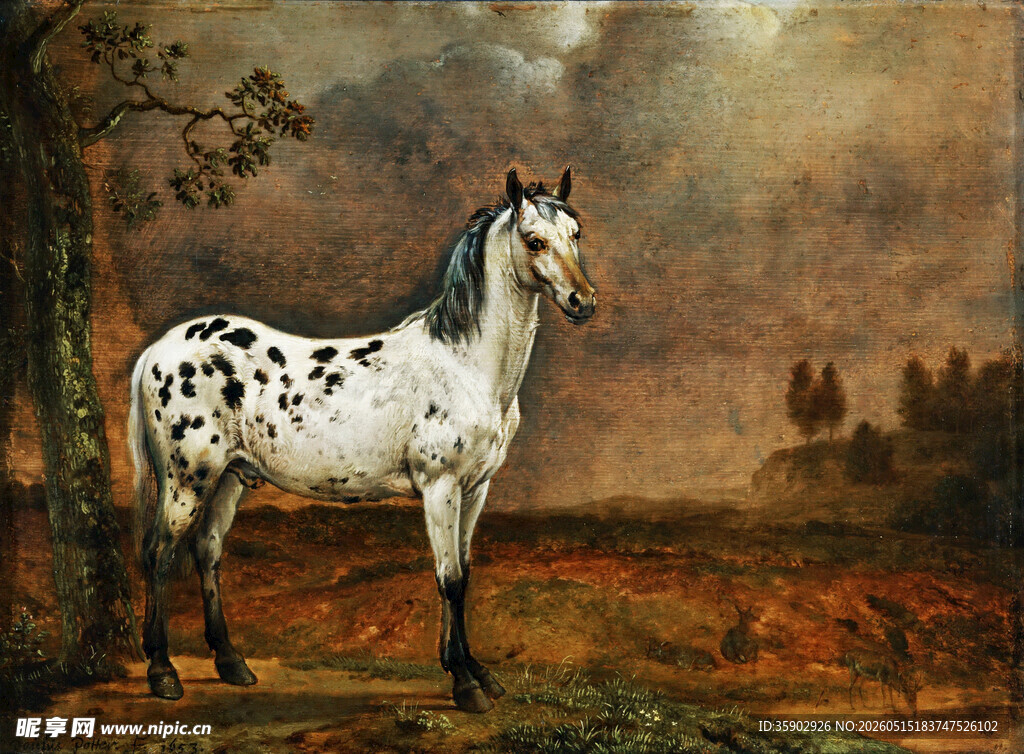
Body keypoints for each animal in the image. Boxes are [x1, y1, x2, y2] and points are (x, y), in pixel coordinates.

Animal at [127, 166, 596, 713]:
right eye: (534, 240)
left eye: (576, 234)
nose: (584, 302)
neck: (466, 365)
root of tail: (157, 350)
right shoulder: (440, 488)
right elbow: (449, 579)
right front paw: (465, 684)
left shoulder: (476, 489)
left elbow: (464, 573)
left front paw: (474, 670)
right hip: (187, 480)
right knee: (159, 553)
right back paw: (162, 672)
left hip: (230, 477)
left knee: (208, 551)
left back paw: (231, 663)